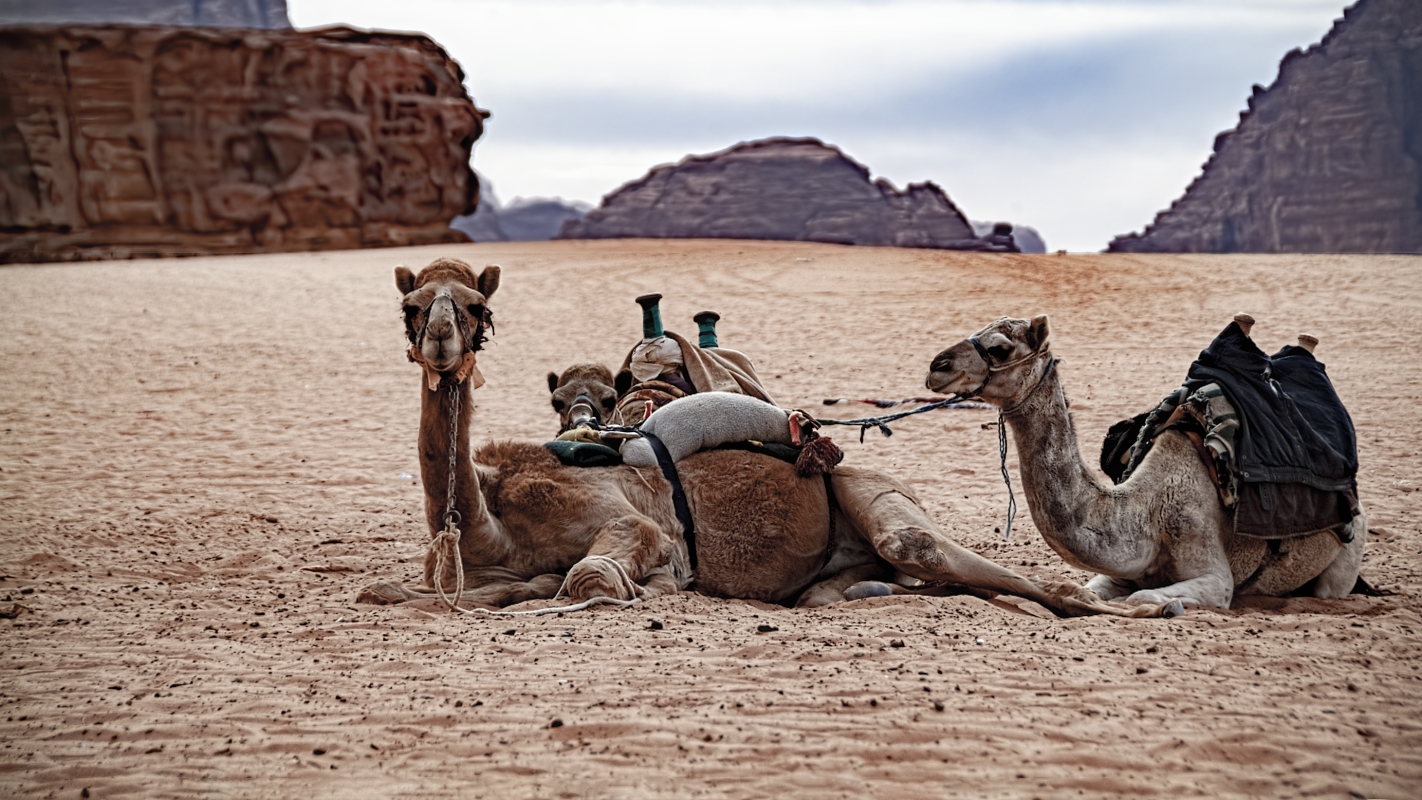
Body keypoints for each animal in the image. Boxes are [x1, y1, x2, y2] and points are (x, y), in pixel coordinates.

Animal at [352, 262, 1154, 619]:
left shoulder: (636, 526)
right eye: (410, 306)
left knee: (944, 555)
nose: (442, 342)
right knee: (864, 588)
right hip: (830, 578)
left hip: (877, 495)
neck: (490, 526)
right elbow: (386, 590)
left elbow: (593, 577)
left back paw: (1131, 606)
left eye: (477, 306)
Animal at [921, 316, 1365, 611]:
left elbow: (1146, 596)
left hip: (1346, 553)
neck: (1147, 511)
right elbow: (1092, 589)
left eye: (999, 347)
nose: (937, 366)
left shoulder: (1214, 574)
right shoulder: (1117, 570)